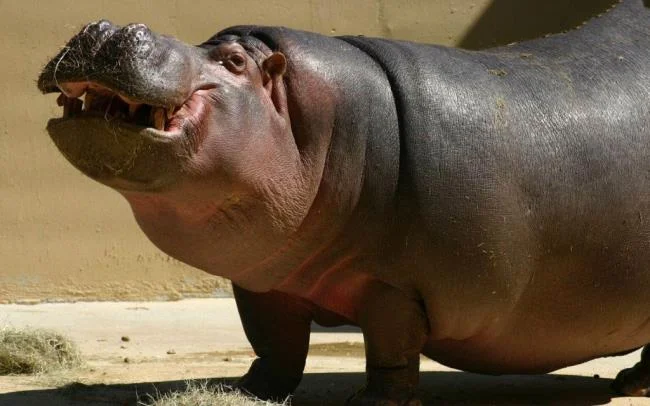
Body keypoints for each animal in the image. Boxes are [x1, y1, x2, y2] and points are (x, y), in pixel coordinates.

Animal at [37, 0, 650, 404]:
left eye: (233, 61)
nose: (110, 26)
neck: (318, 125)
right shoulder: (264, 280)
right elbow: (275, 343)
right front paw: (245, 389)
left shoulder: (392, 286)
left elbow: (390, 347)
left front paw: (373, 403)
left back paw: (631, 384)